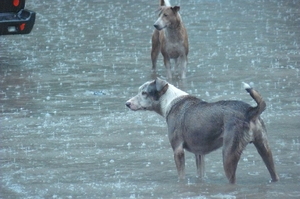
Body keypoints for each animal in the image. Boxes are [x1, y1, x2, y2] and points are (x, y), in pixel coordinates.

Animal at [125, 77, 278, 183]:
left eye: (144, 93)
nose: (127, 103)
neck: (170, 102)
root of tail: (250, 110)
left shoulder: (178, 150)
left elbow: (181, 176)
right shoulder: (199, 153)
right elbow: (200, 174)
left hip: (228, 154)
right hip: (264, 149)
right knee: (274, 174)